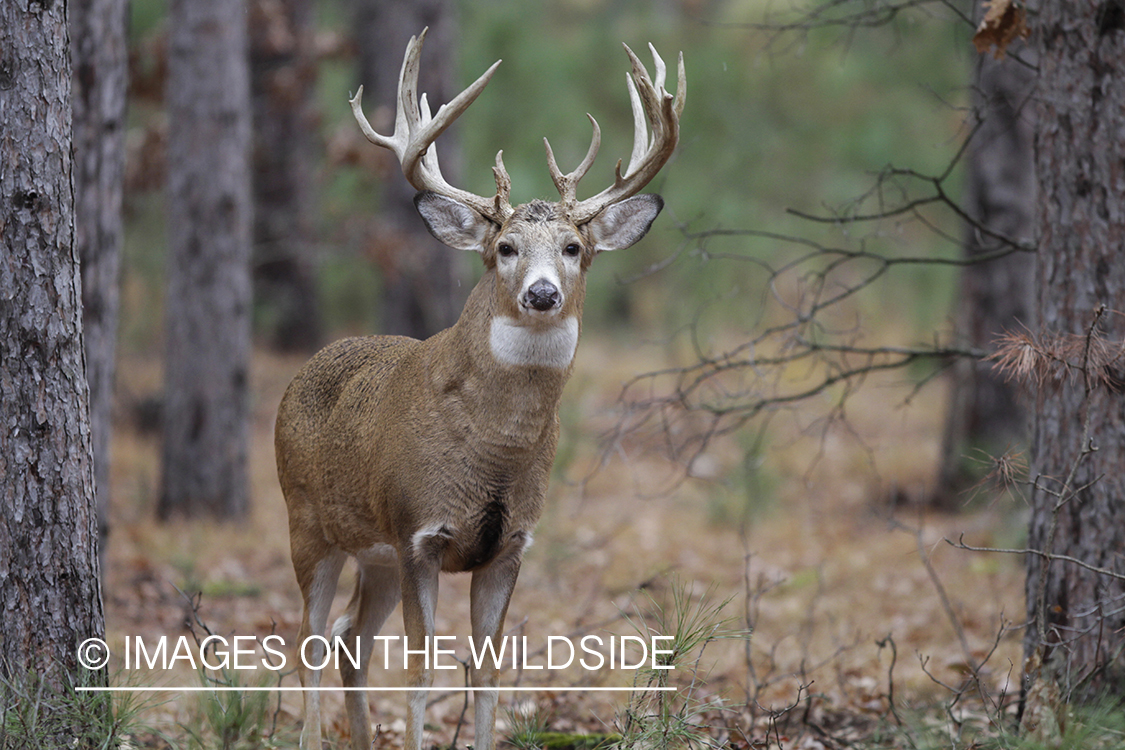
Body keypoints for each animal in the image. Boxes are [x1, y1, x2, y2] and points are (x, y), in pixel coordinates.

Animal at [276, 29, 679, 750]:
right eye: (506, 247)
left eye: (574, 247)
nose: (542, 294)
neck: (496, 449)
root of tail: (304, 370)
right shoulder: (418, 531)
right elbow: (419, 674)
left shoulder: (509, 544)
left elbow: (487, 672)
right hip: (307, 523)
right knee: (311, 641)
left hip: (374, 555)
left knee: (351, 638)